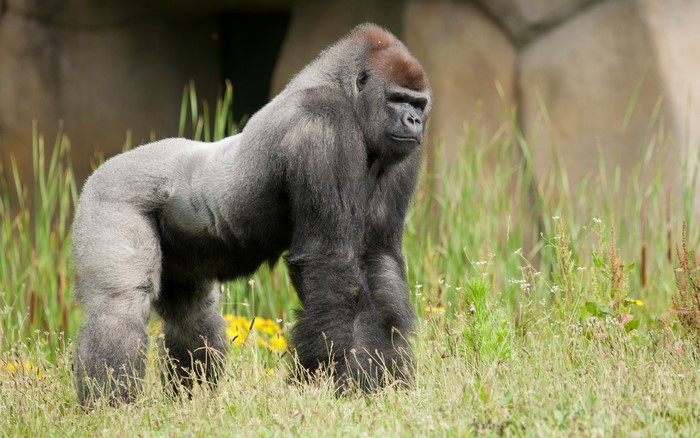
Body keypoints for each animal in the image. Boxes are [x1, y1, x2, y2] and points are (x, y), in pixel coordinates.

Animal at [72, 23, 432, 405]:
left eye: (419, 104)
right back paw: (110, 404)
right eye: (397, 99)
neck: (344, 91)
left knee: (192, 315)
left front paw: (387, 378)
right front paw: (340, 383)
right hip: (110, 195)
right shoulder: (324, 121)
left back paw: (192, 398)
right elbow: (330, 261)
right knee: (119, 305)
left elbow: (378, 260)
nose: (414, 121)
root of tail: (99, 171)